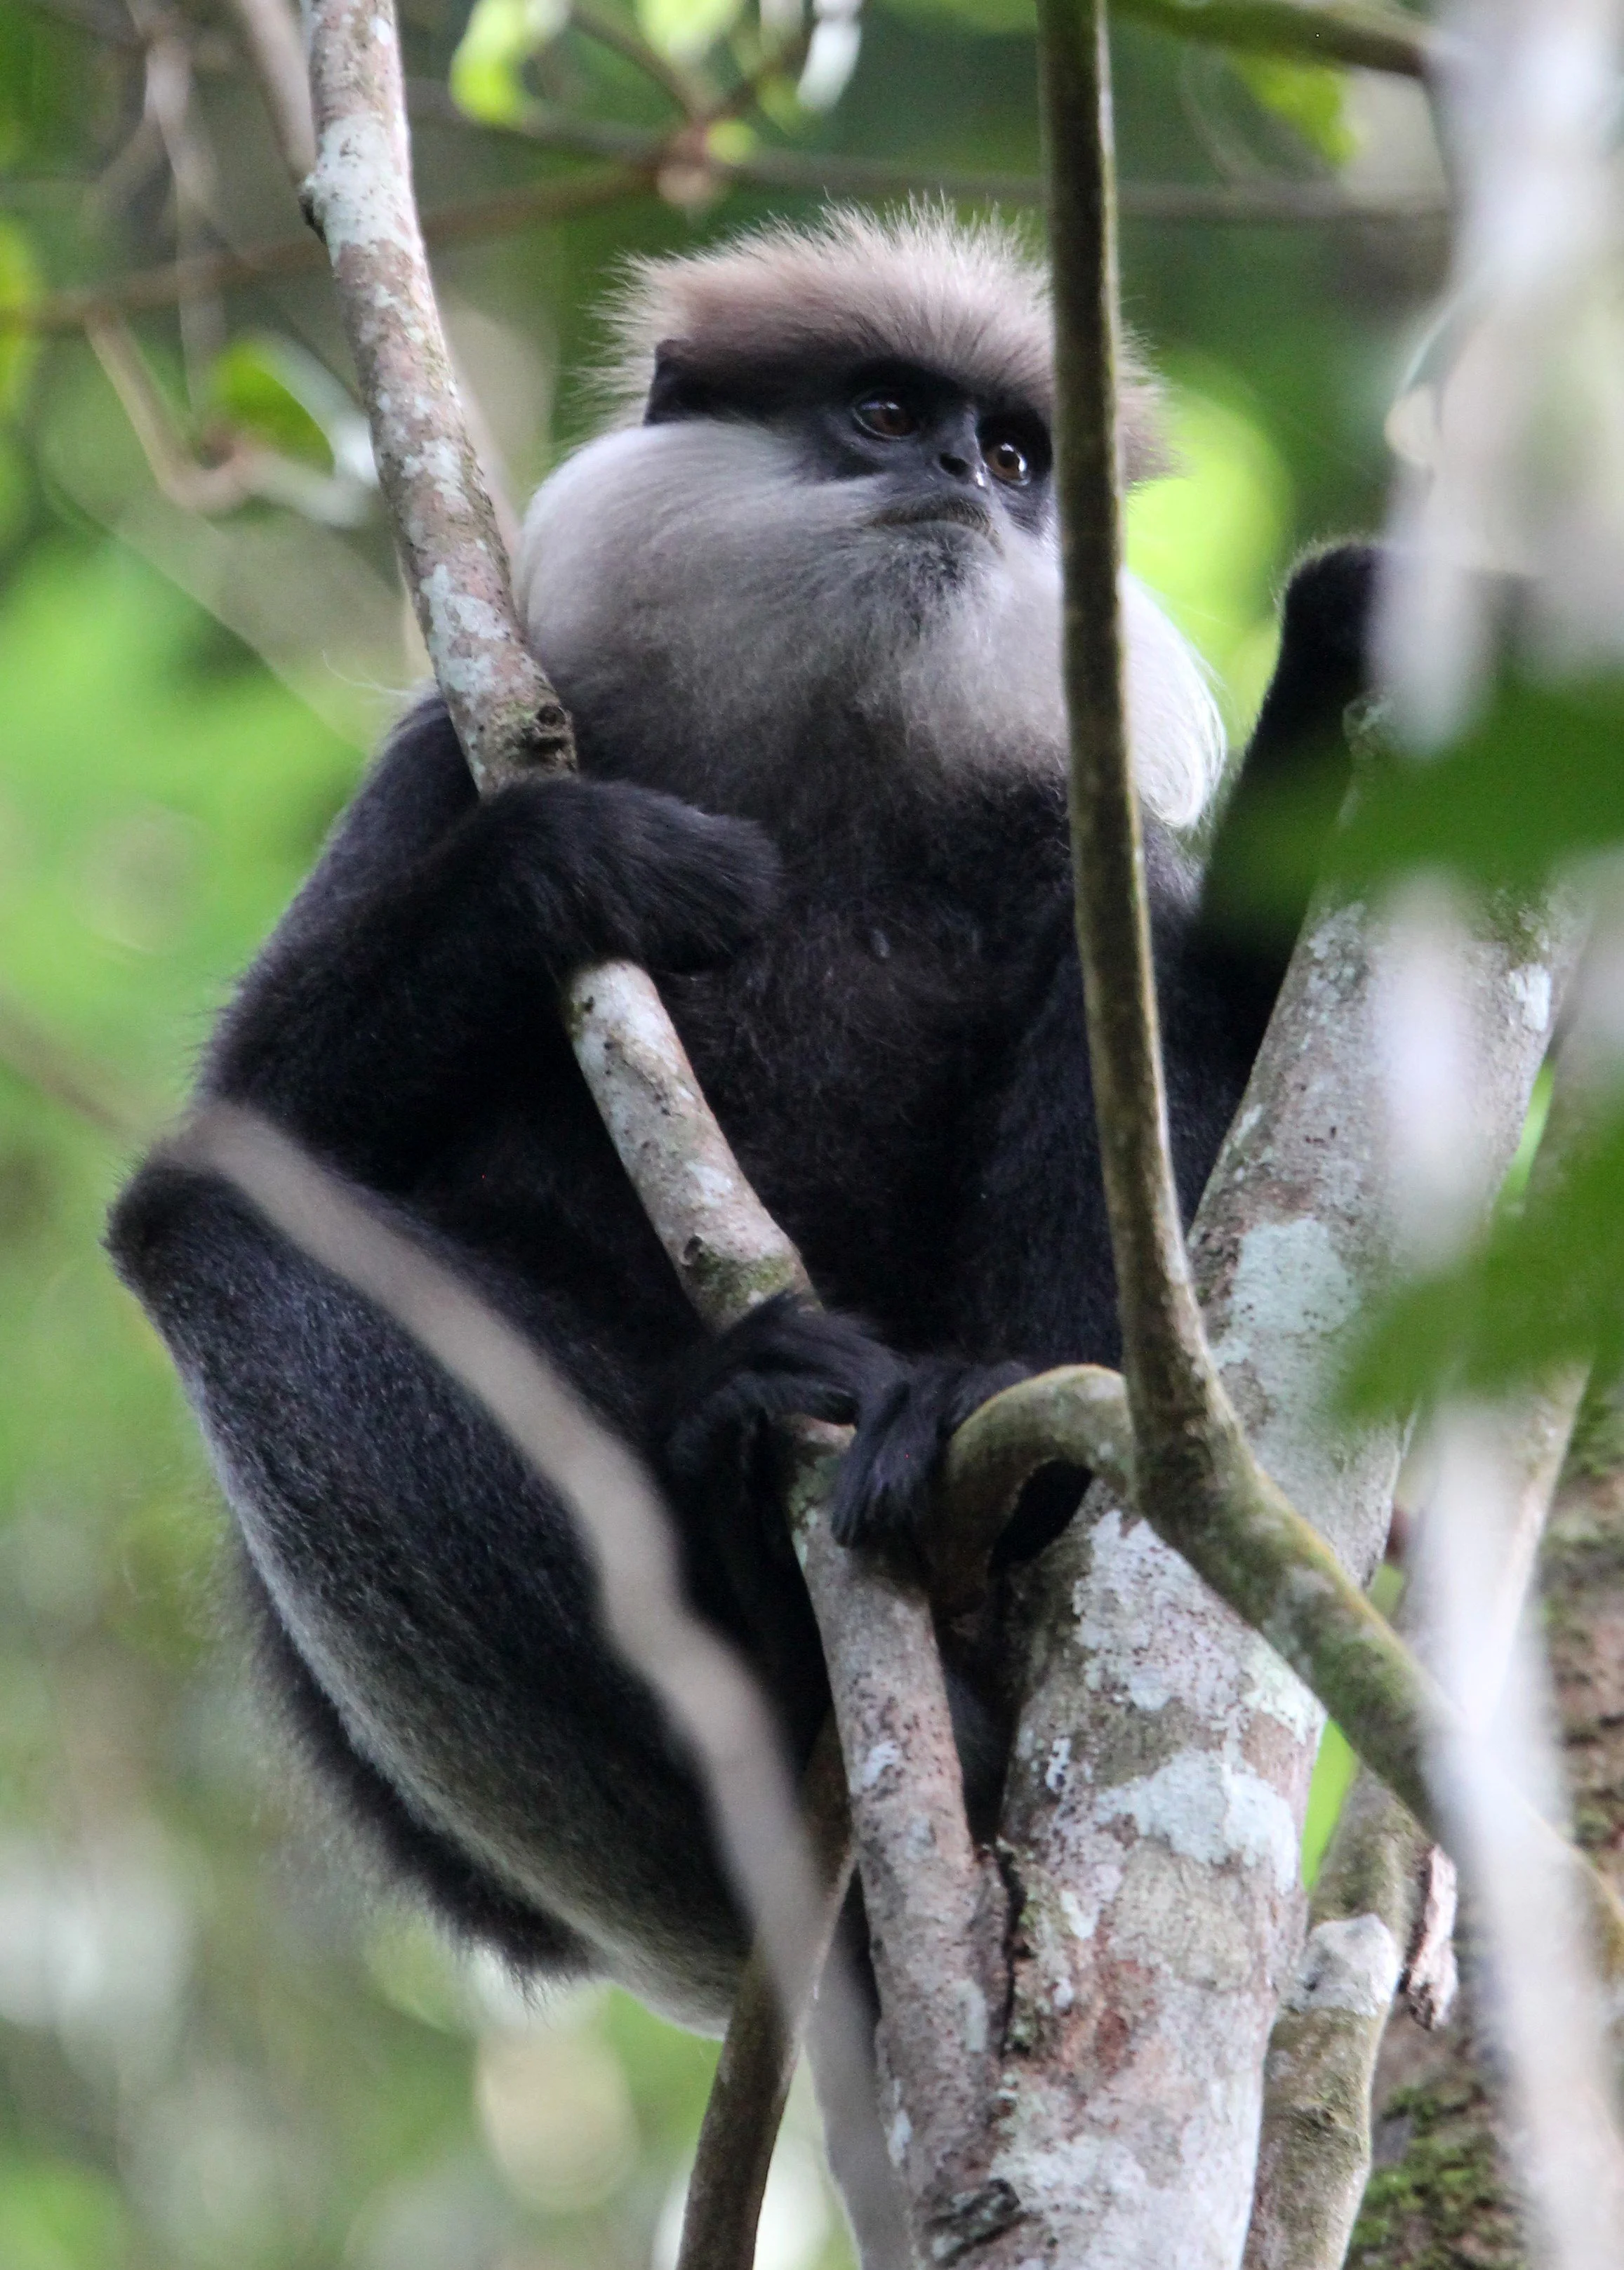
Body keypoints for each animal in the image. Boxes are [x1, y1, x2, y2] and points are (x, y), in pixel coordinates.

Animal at [106, 208, 1377, 2048]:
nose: (959, 477)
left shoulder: (1053, 828)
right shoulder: (439, 766)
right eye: (883, 411)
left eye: (1012, 453)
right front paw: (575, 862)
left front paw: (1342, 663)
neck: (836, 754)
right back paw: (741, 1476)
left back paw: (971, 1472)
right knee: (205, 1224)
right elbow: (257, 1123)